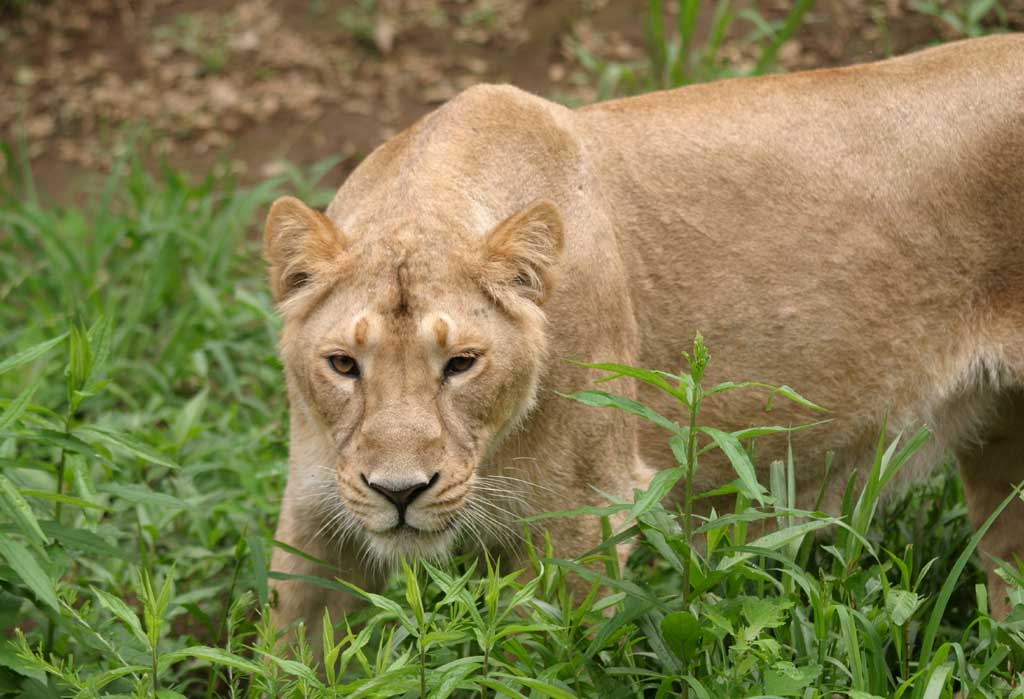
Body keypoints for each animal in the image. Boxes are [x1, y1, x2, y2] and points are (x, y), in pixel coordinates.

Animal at [266, 32, 1024, 646]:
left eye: (461, 364)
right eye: (343, 365)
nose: (399, 491)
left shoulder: (581, 521)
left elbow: (540, 659)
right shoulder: (317, 512)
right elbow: (289, 651)